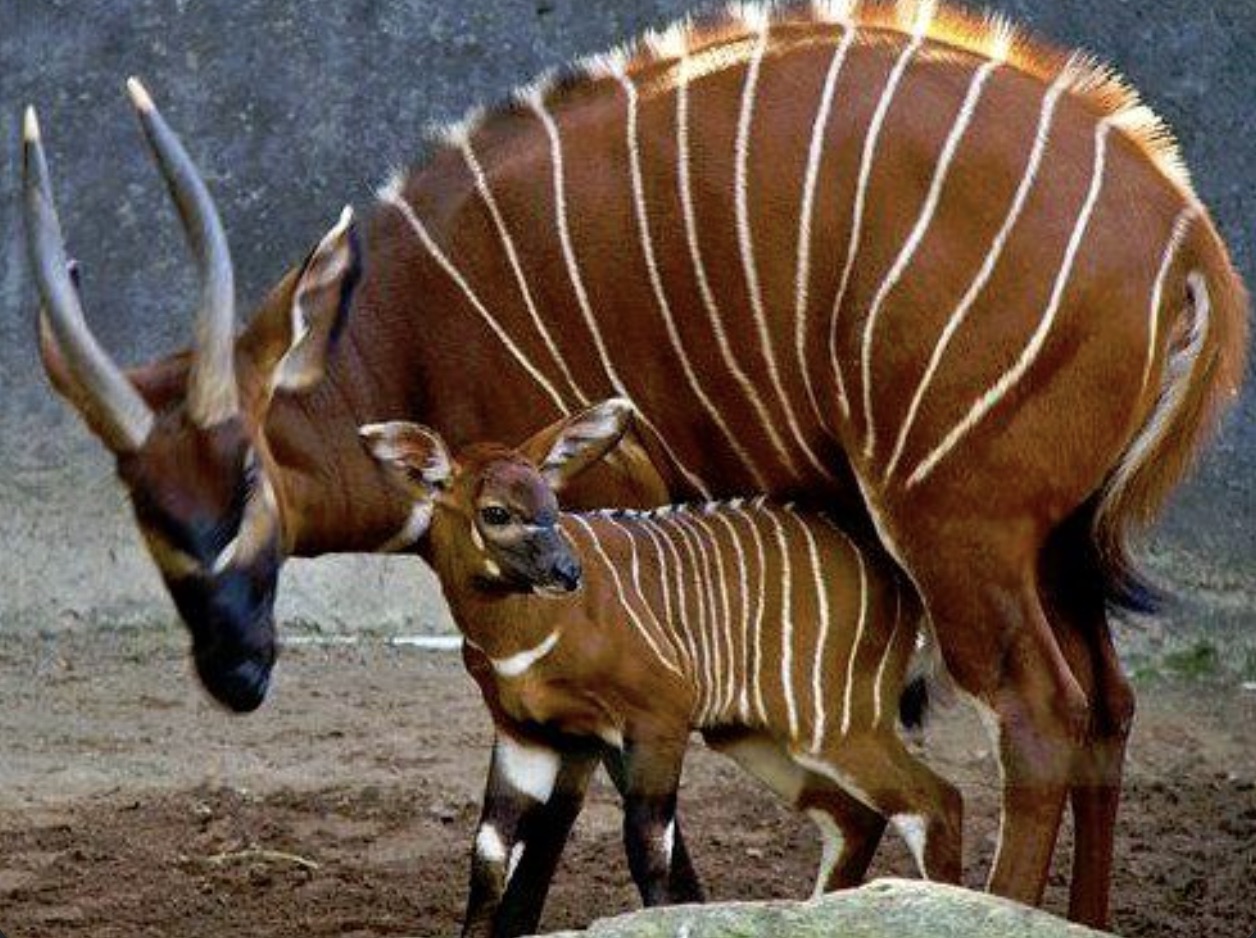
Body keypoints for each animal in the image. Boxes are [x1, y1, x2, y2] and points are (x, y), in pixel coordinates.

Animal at [361, 399, 959, 934]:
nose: (567, 572)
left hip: (837, 722)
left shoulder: (657, 720)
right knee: (855, 815)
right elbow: (488, 854)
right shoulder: (524, 734)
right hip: (752, 732)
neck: (528, 639)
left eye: (552, 502)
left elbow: (648, 848)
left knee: (935, 803)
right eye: (496, 512)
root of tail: (901, 580)